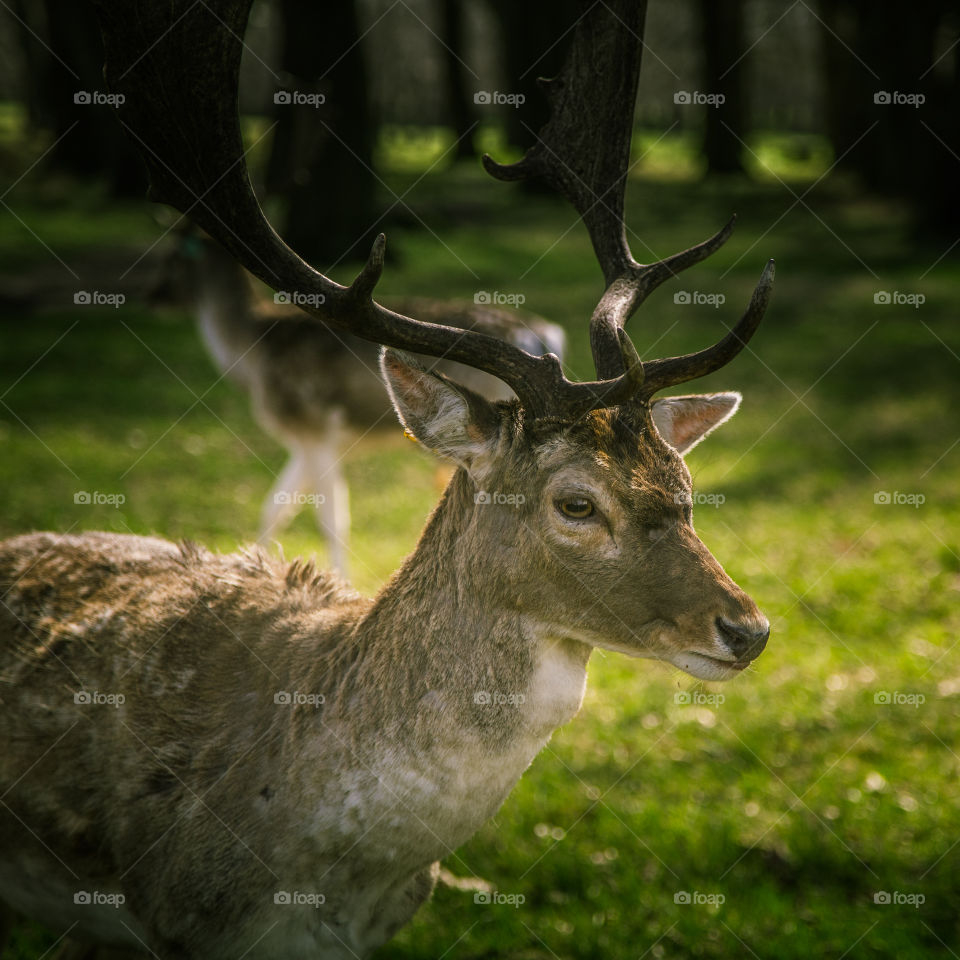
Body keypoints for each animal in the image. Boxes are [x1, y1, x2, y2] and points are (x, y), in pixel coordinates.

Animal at [153, 231, 564, 576]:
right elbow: (275, 507)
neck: (252, 358)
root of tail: (546, 335)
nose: (151, 293)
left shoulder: (313, 427)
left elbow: (330, 520)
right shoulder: (310, 442)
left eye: (170, 254)